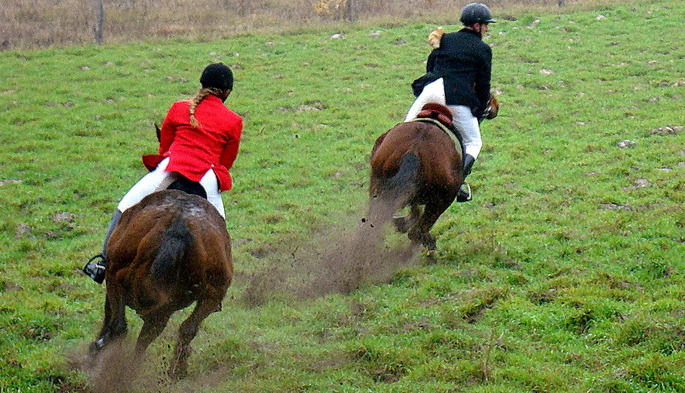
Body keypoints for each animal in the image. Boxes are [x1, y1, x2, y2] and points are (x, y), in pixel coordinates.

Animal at [87, 182, 232, 378]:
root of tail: (179, 228)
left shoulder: (113, 279)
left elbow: (111, 315)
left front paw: (96, 349)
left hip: (118, 277)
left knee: (120, 327)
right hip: (209, 295)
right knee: (185, 329)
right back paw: (172, 371)